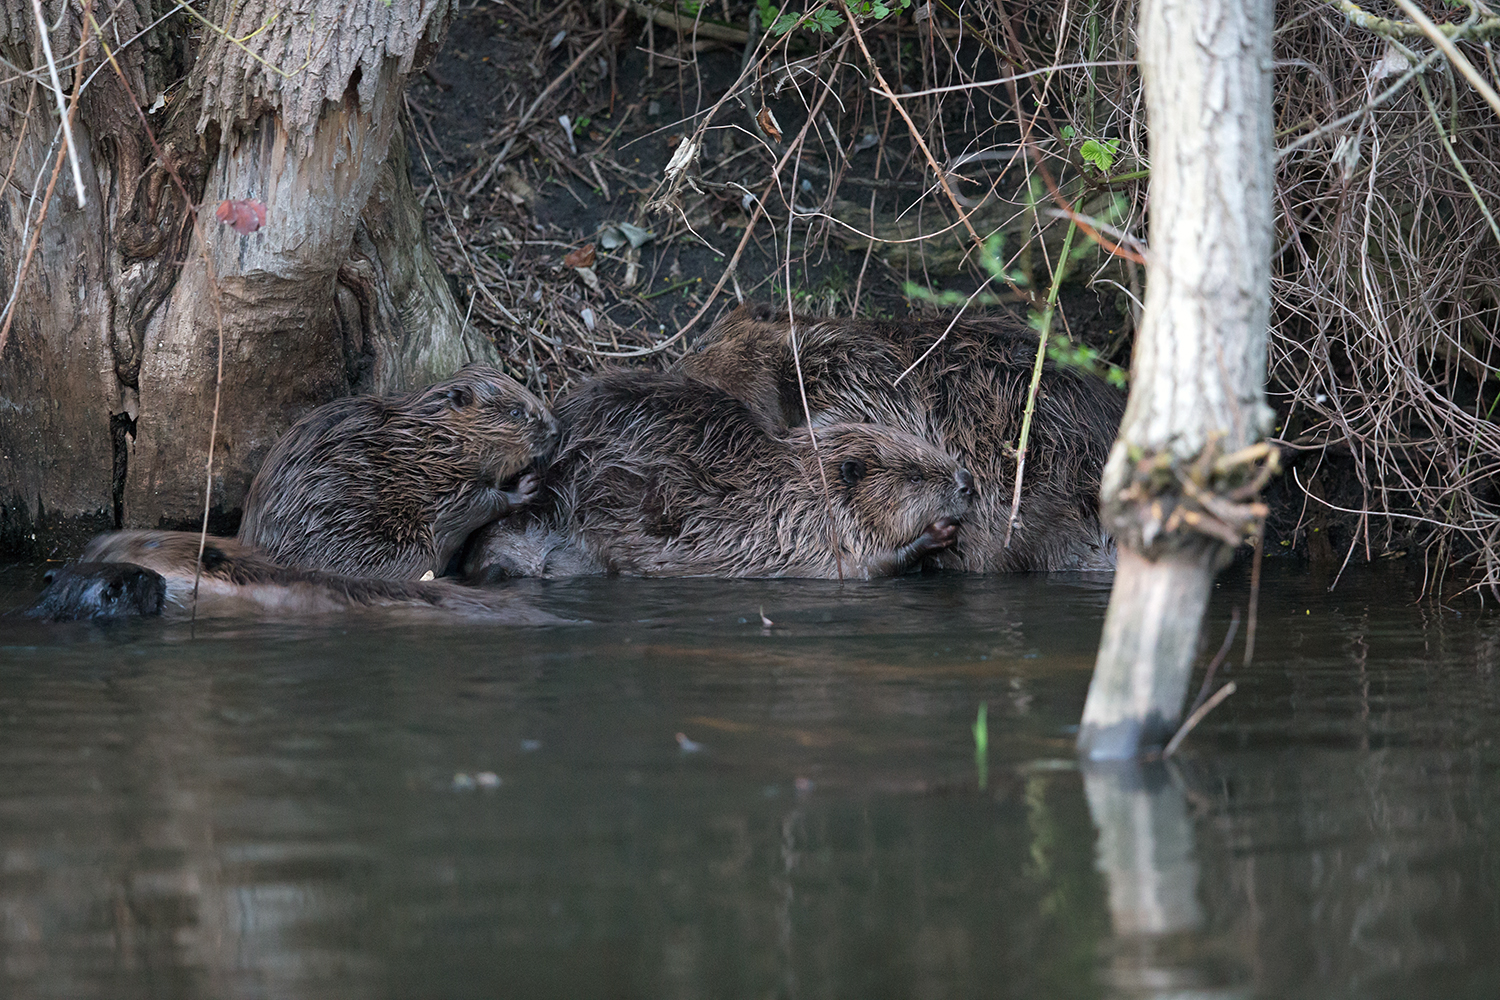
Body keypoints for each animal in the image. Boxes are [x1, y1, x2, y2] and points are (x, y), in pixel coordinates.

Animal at [240, 364, 558, 578]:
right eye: (516, 412)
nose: (555, 430)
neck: (434, 440)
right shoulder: (440, 484)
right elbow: (474, 507)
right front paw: (527, 485)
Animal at [462, 371, 972, 581]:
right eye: (914, 475)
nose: (968, 482)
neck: (796, 487)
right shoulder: (797, 534)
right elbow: (862, 568)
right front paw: (937, 534)